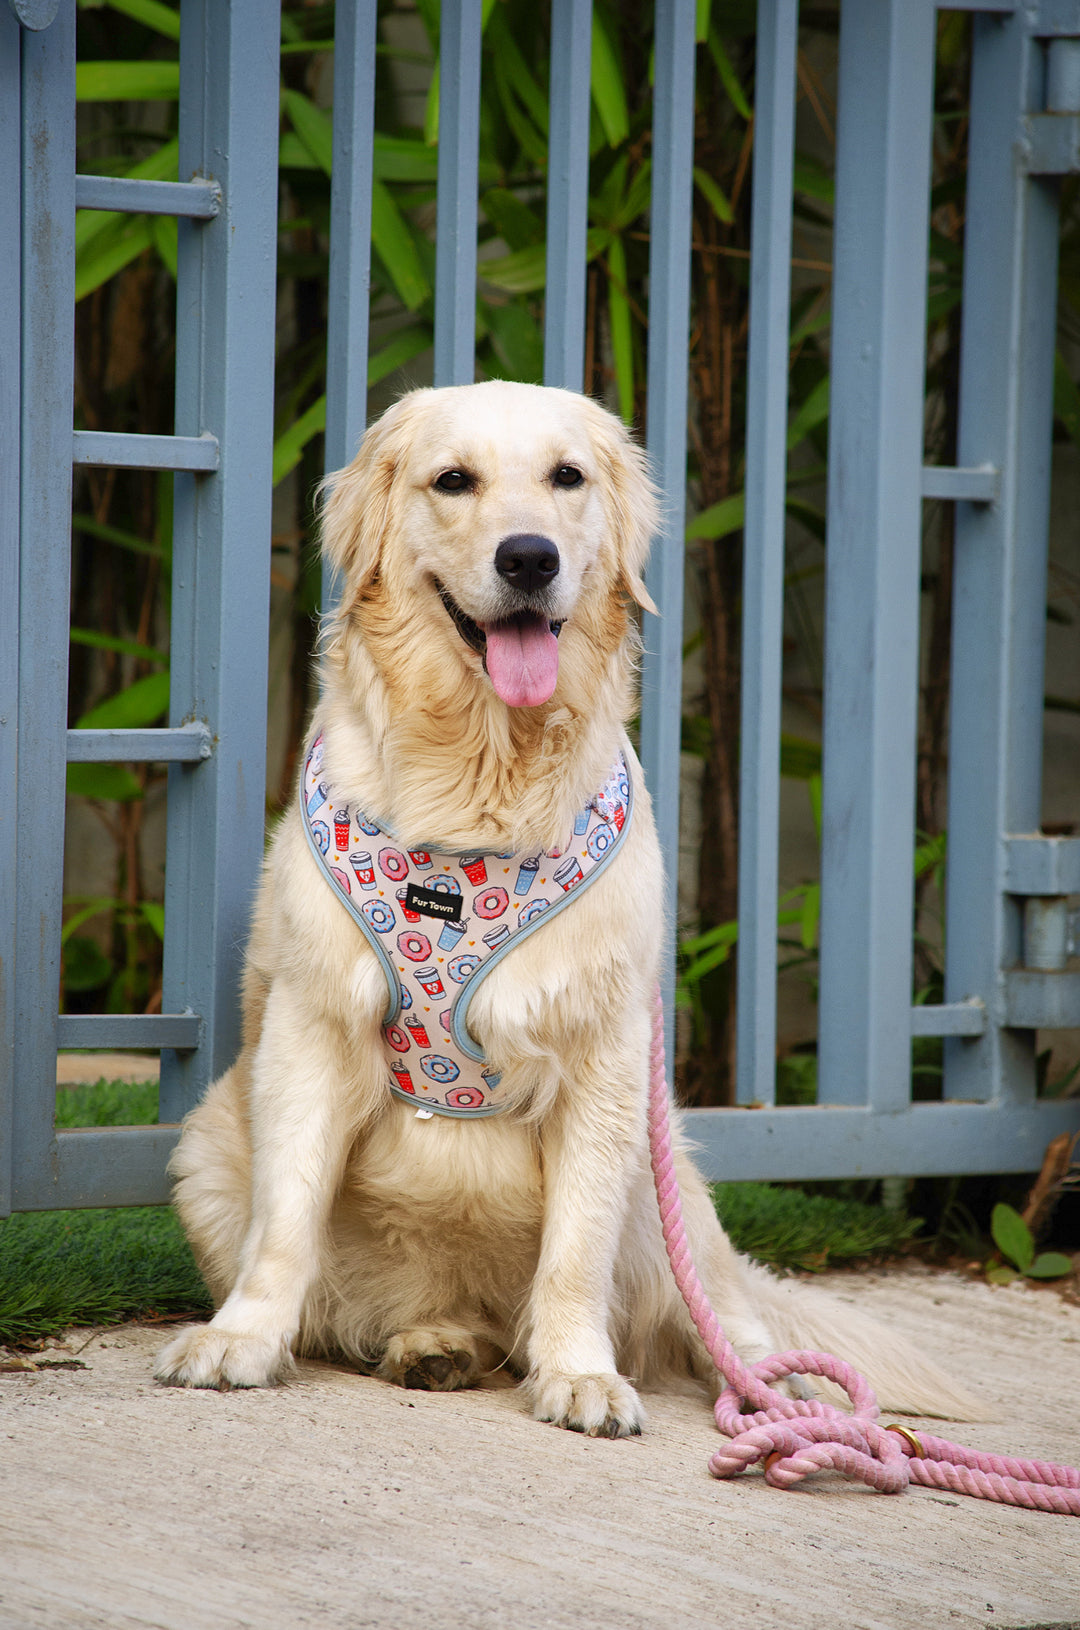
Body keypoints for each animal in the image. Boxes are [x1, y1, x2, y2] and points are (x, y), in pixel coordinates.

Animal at [156, 378, 977, 1427]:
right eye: (453, 480)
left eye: (567, 477)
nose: (529, 557)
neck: (480, 785)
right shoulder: (313, 1024)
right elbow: (286, 1220)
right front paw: (242, 1340)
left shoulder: (605, 1056)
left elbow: (575, 1253)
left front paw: (580, 1372)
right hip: (207, 1149)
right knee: (420, 1312)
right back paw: (435, 1345)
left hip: (669, 1196)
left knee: (730, 1316)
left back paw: (781, 1393)